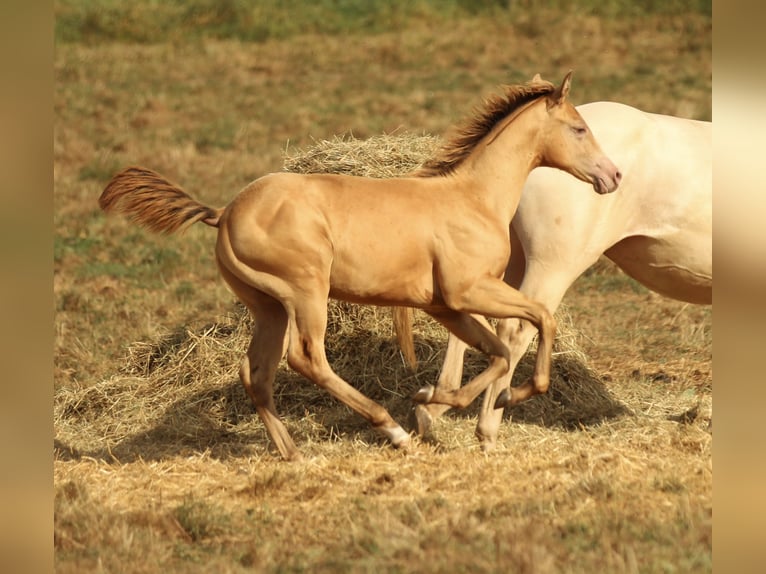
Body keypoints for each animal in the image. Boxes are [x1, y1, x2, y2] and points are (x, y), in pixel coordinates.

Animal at [98, 72, 621, 461]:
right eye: (578, 128)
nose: (612, 175)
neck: (473, 198)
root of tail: (224, 213)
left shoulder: (444, 306)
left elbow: (495, 353)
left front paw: (432, 400)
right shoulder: (469, 290)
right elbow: (540, 319)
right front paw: (498, 399)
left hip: (268, 306)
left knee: (256, 373)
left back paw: (293, 452)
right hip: (305, 292)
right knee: (305, 358)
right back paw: (392, 432)